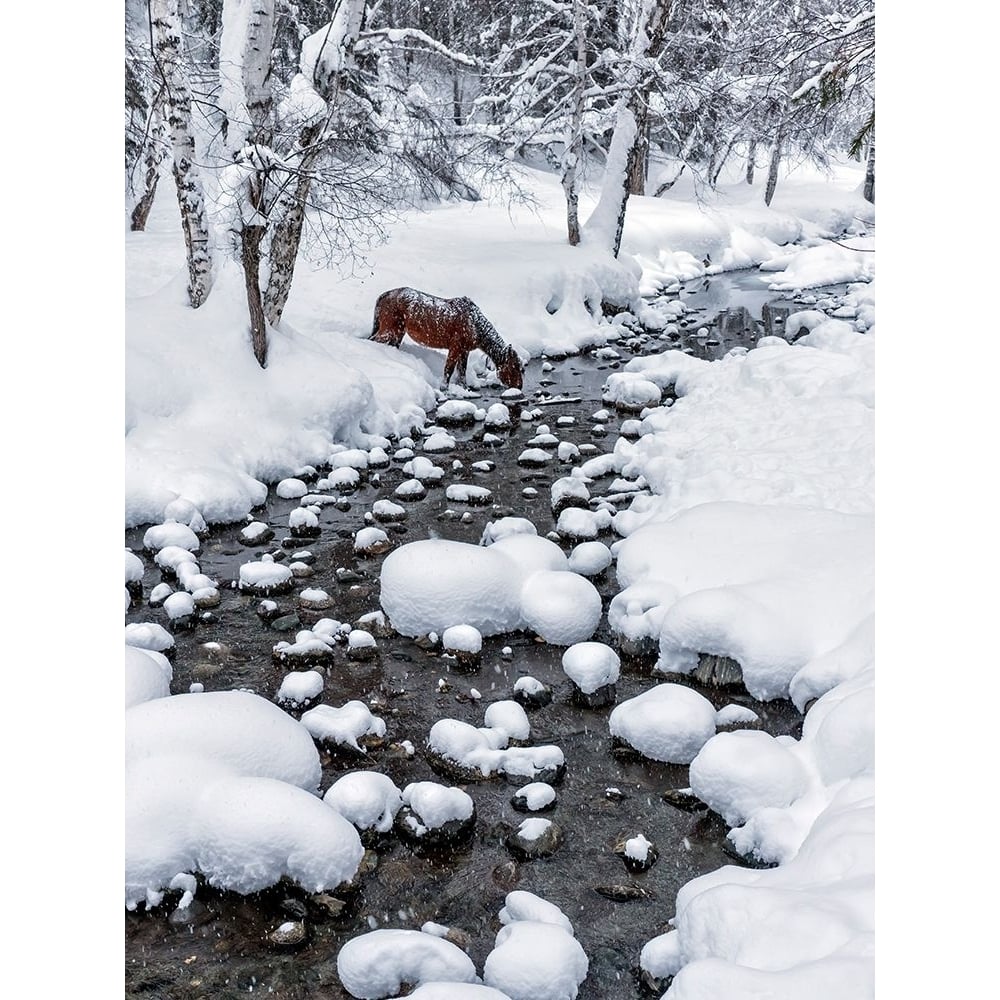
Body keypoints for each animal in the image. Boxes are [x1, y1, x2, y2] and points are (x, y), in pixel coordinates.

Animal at [368, 288, 524, 388]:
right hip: (389, 329)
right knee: (372, 339)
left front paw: (464, 388)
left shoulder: (464, 350)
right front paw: (445, 388)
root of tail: (382, 296)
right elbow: (449, 369)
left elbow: (462, 372)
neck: (476, 327)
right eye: (514, 367)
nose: (519, 386)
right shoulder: (455, 347)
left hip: (398, 332)